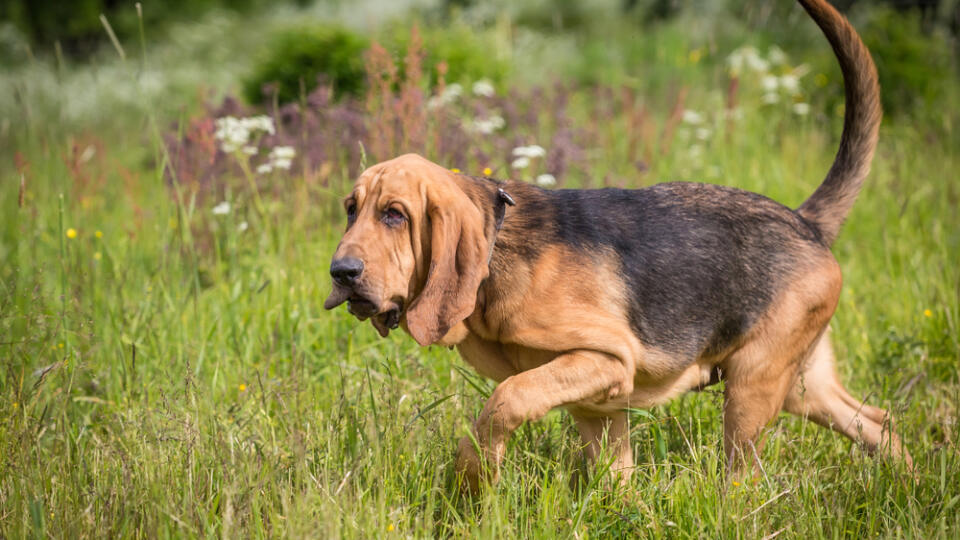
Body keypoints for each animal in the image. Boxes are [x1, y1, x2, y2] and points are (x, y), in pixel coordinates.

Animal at [326, 0, 912, 492]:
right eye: (351, 209)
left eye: (395, 214)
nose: (341, 272)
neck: (498, 253)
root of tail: (807, 221)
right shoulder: (600, 405)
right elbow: (614, 479)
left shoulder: (605, 358)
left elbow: (503, 401)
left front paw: (473, 479)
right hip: (801, 385)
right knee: (879, 425)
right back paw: (912, 485)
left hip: (753, 387)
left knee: (743, 475)